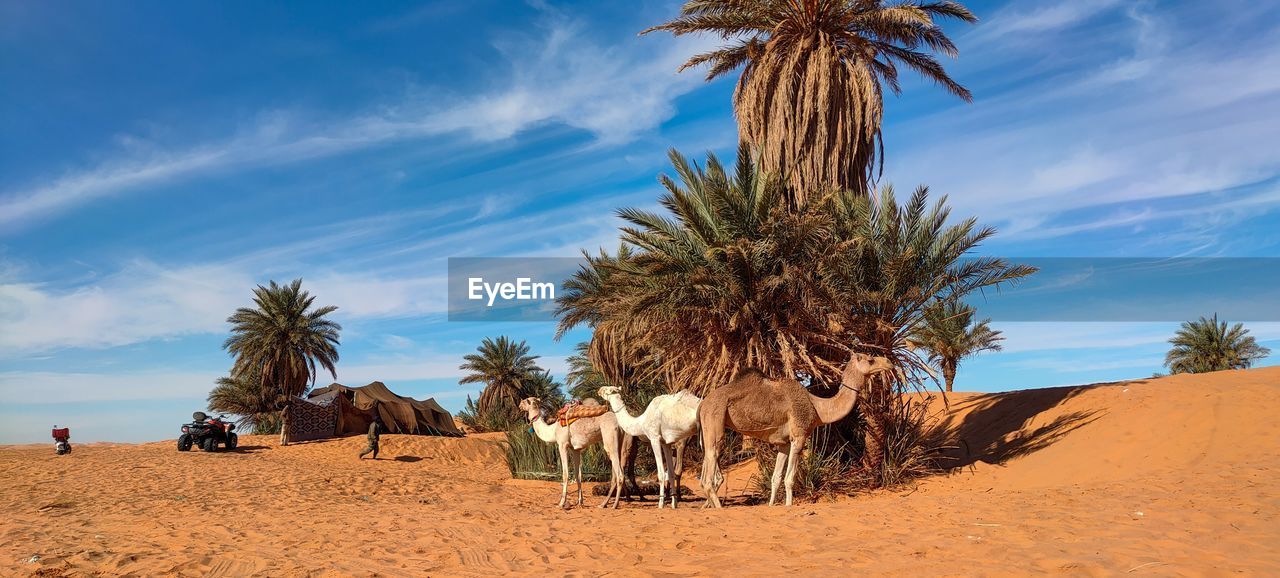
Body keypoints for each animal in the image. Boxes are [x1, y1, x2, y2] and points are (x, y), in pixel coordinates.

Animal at [697, 352, 895, 508]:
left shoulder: (783, 443)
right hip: (715, 418)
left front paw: (771, 505)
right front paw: (789, 506)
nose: (889, 362)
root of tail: (703, 404)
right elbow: (789, 478)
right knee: (709, 471)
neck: (818, 408)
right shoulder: (799, 437)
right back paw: (718, 507)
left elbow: (776, 478)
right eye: (870, 360)